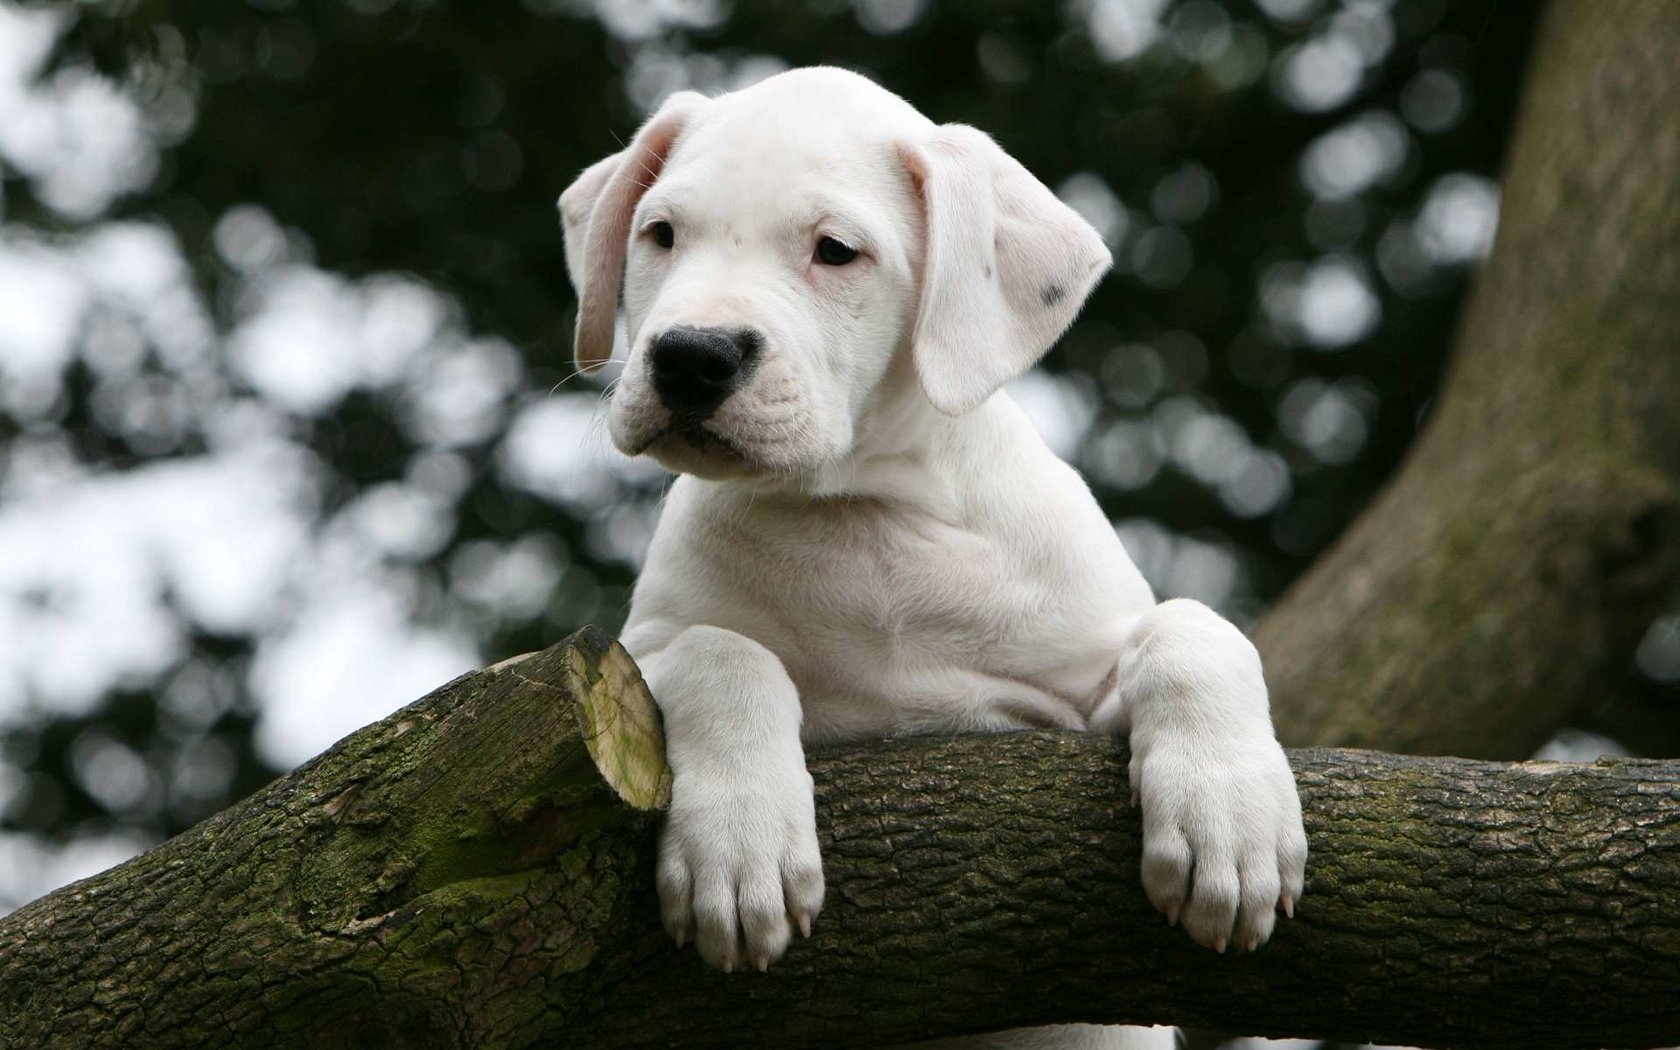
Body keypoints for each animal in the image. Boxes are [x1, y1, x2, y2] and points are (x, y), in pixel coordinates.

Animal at [557, 67, 1303, 1048]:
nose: (690, 356)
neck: (865, 516)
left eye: (836, 251)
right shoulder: (642, 651)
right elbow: (721, 650)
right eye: (661, 234)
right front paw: (743, 844)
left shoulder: (1073, 705)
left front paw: (1232, 816)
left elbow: (1191, 629)